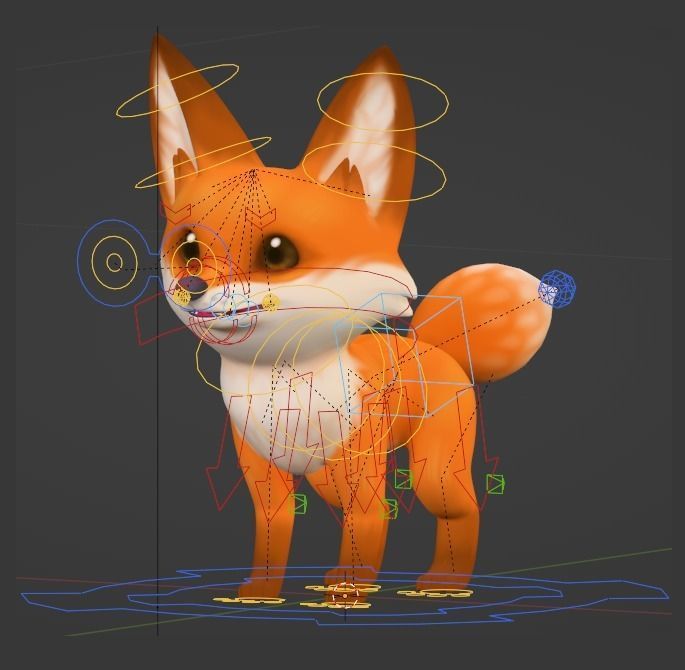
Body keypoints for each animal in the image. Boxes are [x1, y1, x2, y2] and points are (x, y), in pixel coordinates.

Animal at [148, 34, 553, 600]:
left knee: (461, 510)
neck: (284, 380)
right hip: (325, 479)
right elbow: (273, 530)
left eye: (277, 253)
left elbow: (368, 520)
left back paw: (444, 582)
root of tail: (434, 345)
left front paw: (350, 589)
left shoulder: (358, 458)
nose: (192, 288)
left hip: (431, 472)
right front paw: (260, 593)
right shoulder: (262, 469)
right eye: (188, 249)